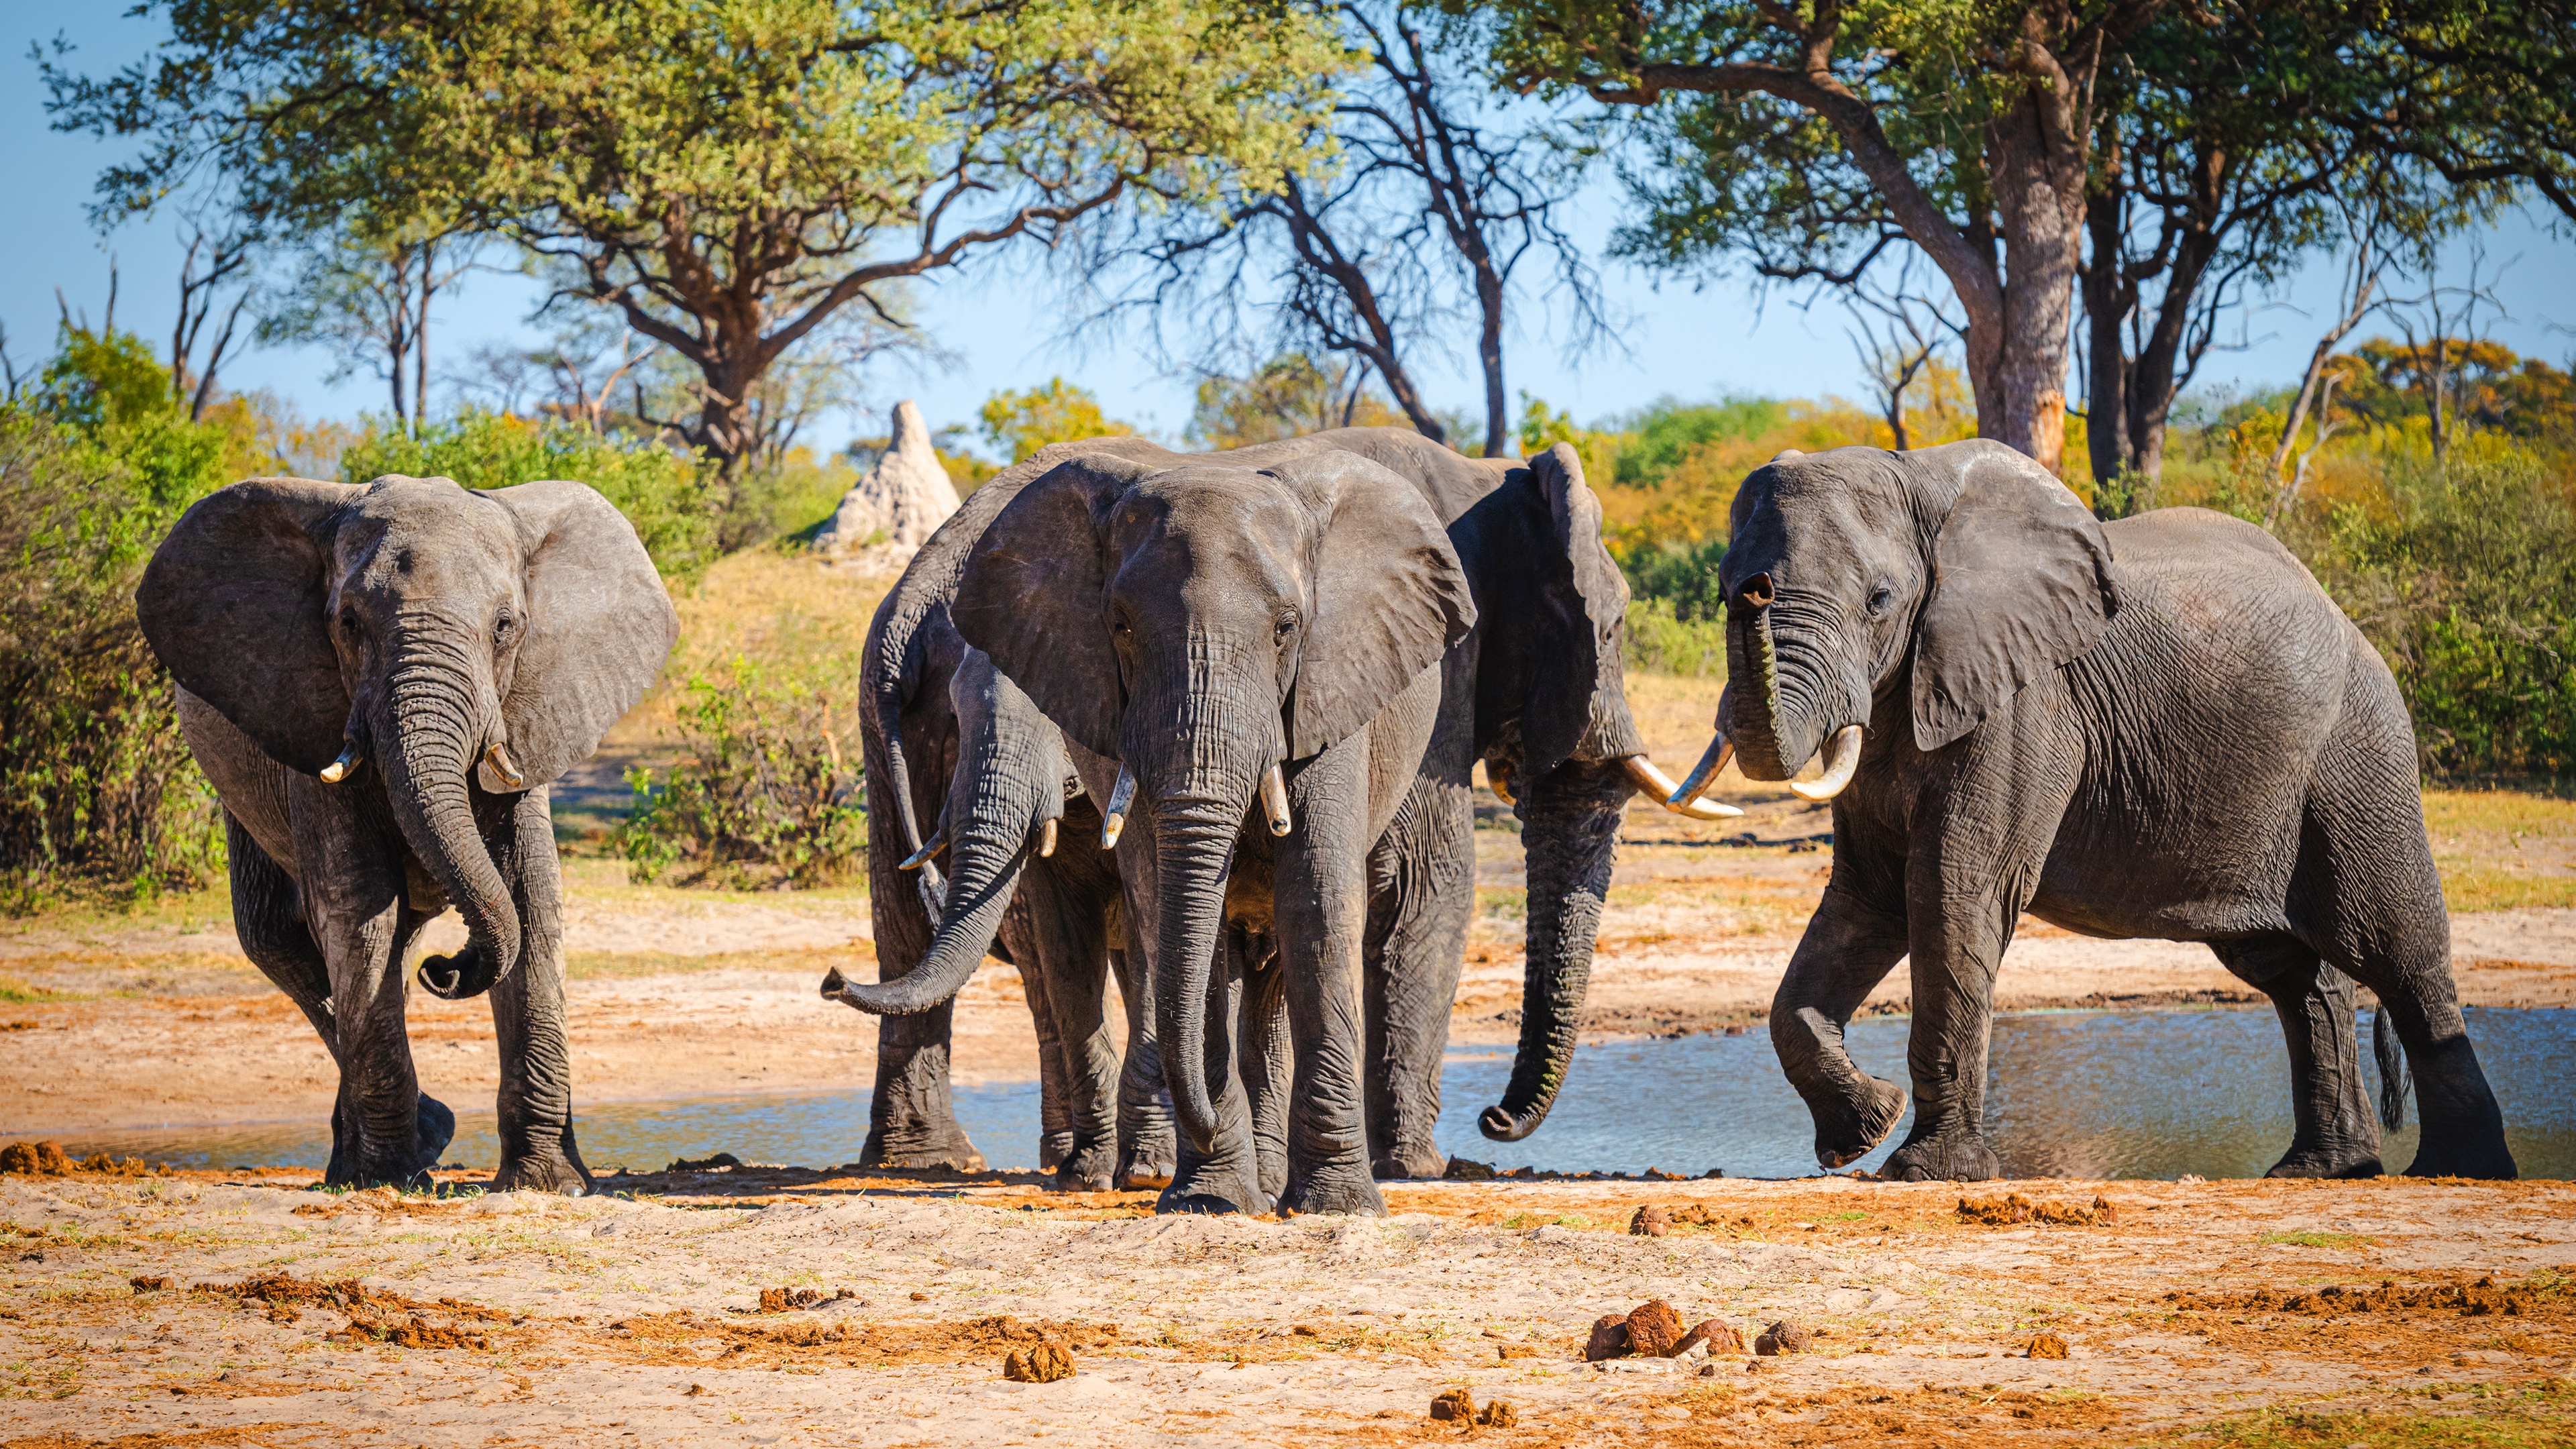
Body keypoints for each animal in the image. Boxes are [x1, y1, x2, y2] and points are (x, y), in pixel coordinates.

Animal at [138, 474, 675, 1185]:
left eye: (505, 627)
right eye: (348, 624)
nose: (446, 971)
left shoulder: (527, 717)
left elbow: (530, 898)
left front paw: (548, 1185)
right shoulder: (314, 725)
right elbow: (358, 907)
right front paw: (391, 1179)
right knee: (280, 938)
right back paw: (390, 1154)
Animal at [1648, 445, 2514, 1181]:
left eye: (1879, 601)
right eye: (1725, 586)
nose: (1754, 588)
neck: (1918, 484)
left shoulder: (2026, 700)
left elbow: (1955, 893)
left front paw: (1923, 1172)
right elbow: (1866, 903)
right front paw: (1866, 1128)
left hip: (2357, 751)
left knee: (2397, 950)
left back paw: (2461, 1172)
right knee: (2292, 971)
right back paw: (2324, 1170)